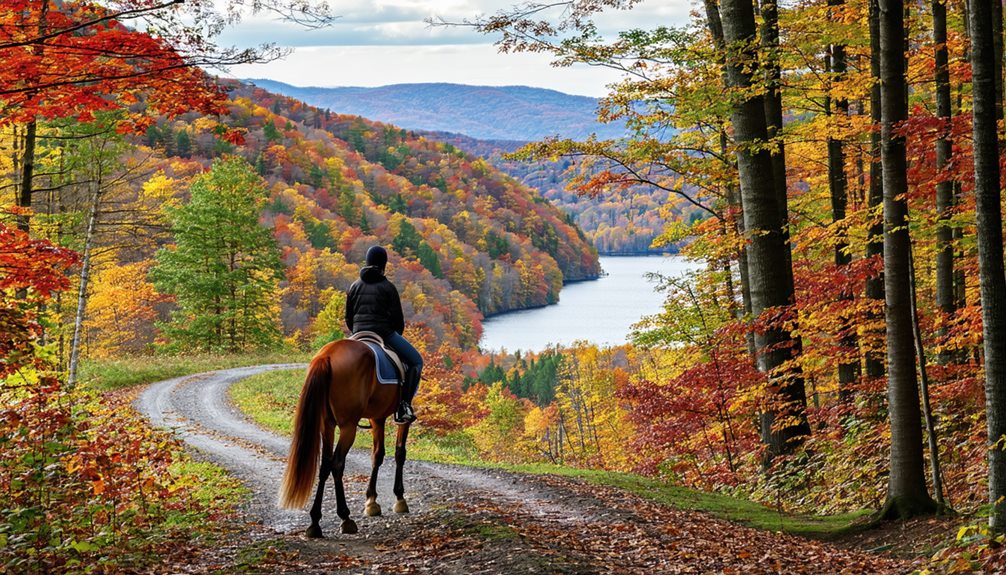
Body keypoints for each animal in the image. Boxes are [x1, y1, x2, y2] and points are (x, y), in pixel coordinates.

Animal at [277, 339, 410, 538]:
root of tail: (327, 355)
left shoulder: (376, 418)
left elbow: (377, 455)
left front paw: (371, 501)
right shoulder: (401, 420)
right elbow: (399, 453)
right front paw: (399, 498)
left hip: (327, 425)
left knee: (325, 464)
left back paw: (315, 522)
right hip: (348, 427)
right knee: (337, 464)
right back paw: (345, 518)